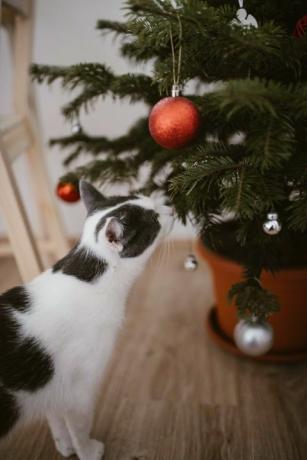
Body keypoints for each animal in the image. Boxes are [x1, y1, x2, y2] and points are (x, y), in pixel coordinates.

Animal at [0, 181, 173, 460]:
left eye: (153, 202)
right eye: (155, 218)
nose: (170, 207)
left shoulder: (48, 386)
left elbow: (54, 414)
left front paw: (62, 443)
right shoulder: (79, 389)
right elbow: (80, 424)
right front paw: (88, 450)